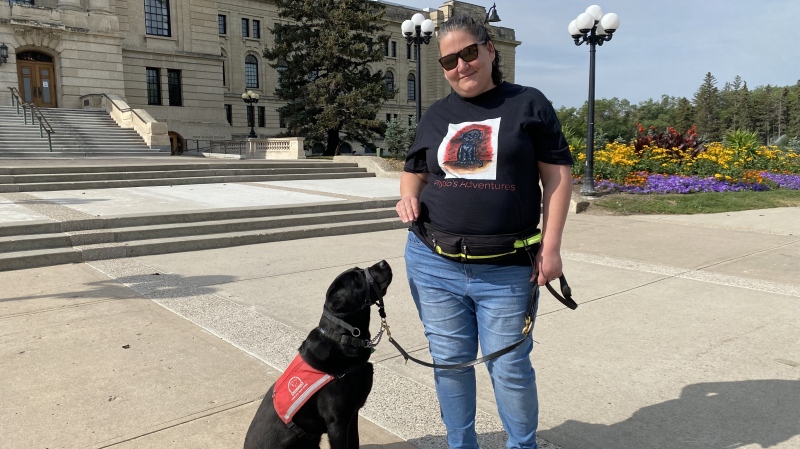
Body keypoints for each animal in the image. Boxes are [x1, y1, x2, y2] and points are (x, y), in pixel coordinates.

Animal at [244, 260, 394, 448]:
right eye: (357, 278)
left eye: (359, 271)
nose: (384, 262)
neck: (342, 340)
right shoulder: (337, 423)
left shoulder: (352, 415)